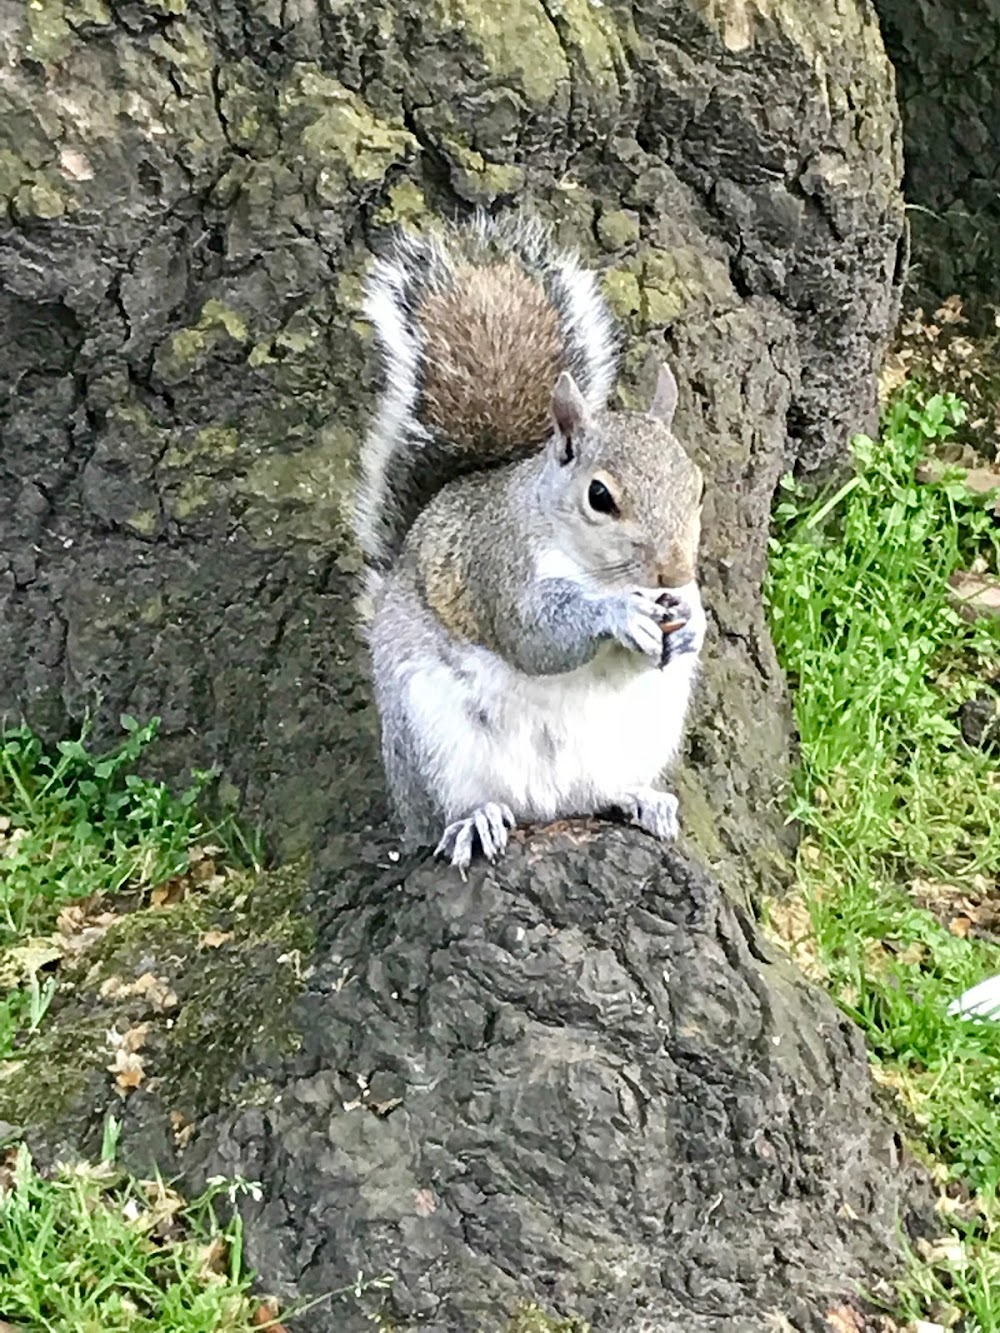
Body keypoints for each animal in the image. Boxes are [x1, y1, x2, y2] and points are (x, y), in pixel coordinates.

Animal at [357, 211, 709, 869]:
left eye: (698, 487)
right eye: (600, 496)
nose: (674, 573)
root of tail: (545, 805)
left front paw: (692, 623)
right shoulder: (499, 566)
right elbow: (535, 636)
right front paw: (618, 614)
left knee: (599, 794)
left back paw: (639, 798)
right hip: (430, 738)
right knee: (450, 810)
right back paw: (474, 821)